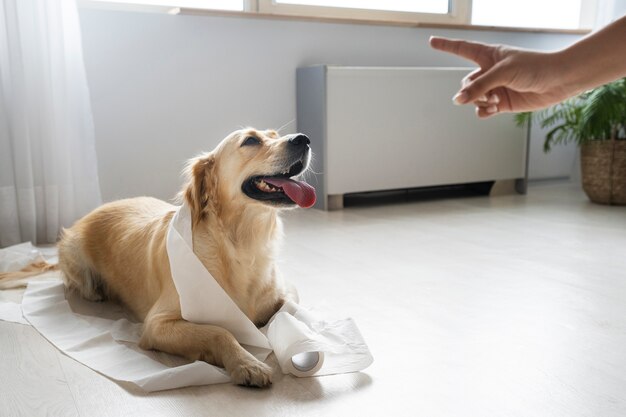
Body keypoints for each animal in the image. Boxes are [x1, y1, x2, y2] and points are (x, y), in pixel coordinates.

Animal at [0, 127, 314, 386]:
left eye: (274, 134)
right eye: (251, 140)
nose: (304, 138)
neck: (241, 244)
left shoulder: (284, 294)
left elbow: (291, 311)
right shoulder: (158, 324)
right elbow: (218, 331)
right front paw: (247, 363)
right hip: (74, 253)